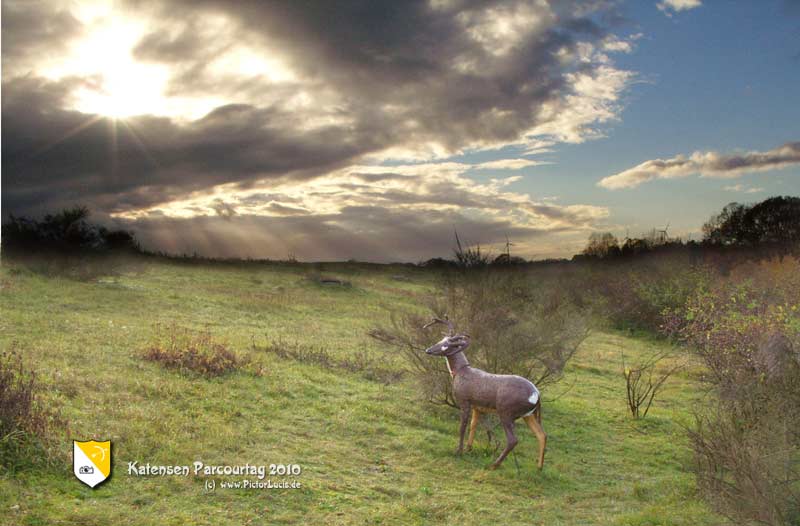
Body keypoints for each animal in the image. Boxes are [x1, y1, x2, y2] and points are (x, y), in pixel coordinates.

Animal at [422, 318, 548, 470]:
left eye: (446, 345)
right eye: (441, 340)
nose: (428, 350)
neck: (461, 372)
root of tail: (537, 395)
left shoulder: (464, 401)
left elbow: (462, 427)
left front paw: (458, 451)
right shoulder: (478, 407)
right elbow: (473, 426)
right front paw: (468, 449)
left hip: (506, 412)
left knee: (513, 440)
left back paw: (494, 465)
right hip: (529, 415)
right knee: (542, 435)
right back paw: (539, 467)